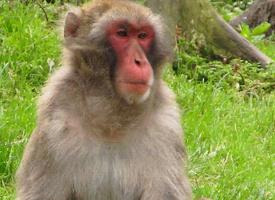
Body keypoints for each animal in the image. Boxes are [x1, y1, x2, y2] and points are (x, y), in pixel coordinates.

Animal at [15, 0, 192, 199]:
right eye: (122, 33)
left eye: (142, 35)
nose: (140, 61)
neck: (111, 121)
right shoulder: (55, 122)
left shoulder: (166, 127)